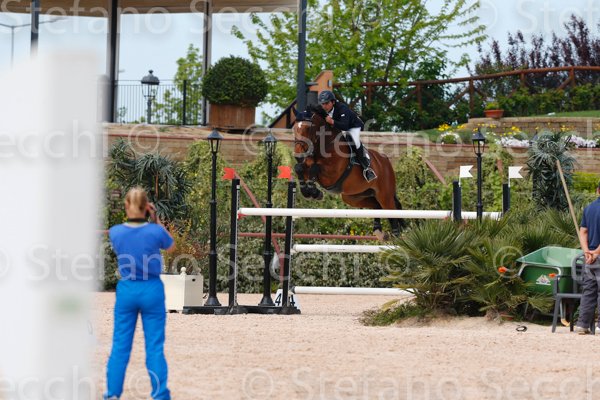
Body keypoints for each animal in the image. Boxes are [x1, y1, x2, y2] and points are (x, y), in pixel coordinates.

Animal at [293, 107, 405, 240]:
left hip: (384, 195)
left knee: (392, 212)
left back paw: (396, 235)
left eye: (308, 128)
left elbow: (315, 168)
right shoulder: (307, 168)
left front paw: (315, 192)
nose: (298, 155)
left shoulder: (331, 174)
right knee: (376, 206)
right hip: (354, 197)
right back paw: (378, 230)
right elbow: (299, 168)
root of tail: (385, 160)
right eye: (294, 128)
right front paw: (310, 192)